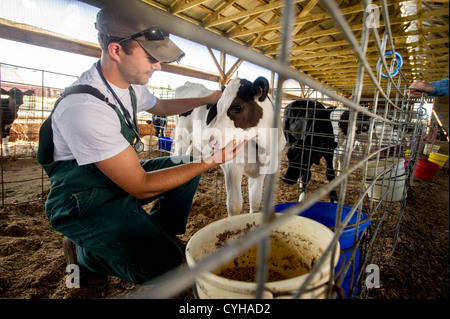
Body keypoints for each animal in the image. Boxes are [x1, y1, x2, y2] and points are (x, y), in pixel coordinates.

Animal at [173, 78, 284, 216]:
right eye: (218, 108)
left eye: (237, 107)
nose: (212, 141)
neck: (262, 146)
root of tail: (188, 84)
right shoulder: (232, 167)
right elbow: (235, 206)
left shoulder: (263, 169)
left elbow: (255, 201)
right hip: (182, 137)